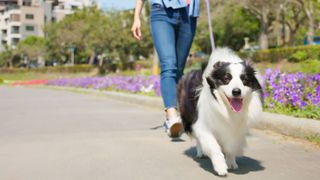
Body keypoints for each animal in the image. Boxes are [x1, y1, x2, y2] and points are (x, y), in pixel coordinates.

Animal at [178, 47, 262, 176]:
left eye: (245, 79)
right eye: (226, 78)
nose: (236, 91)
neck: (226, 109)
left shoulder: (236, 129)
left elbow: (230, 145)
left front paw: (231, 162)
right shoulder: (203, 125)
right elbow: (214, 147)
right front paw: (221, 167)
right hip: (189, 115)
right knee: (197, 136)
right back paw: (201, 152)